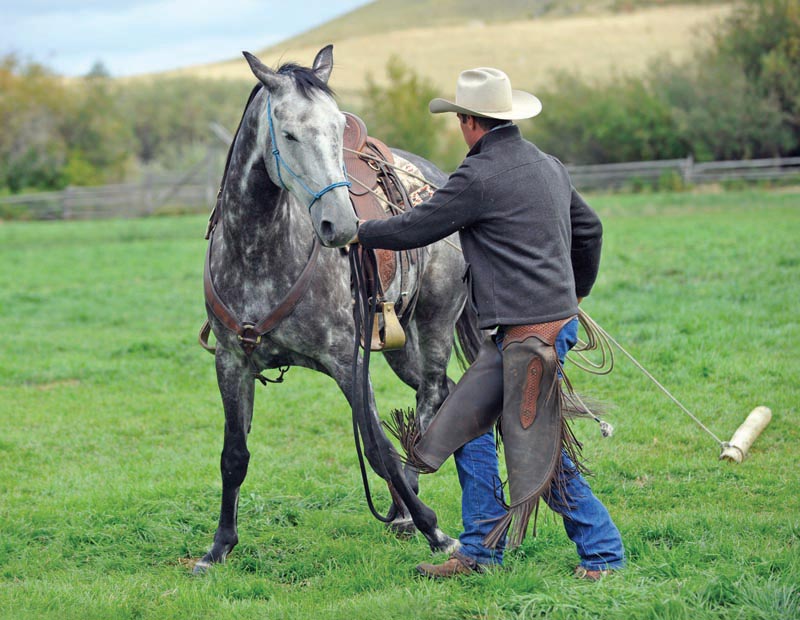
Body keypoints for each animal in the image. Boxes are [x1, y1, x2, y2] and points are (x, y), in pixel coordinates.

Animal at [195, 45, 479, 572]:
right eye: (289, 134)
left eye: (334, 128)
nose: (342, 225)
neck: (259, 252)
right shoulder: (231, 362)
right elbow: (234, 455)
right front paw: (220, 545)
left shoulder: (348, 362)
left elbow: (377, 447)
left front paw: (434, 531)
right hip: (399, 344)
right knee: (439, 394)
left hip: (435, 324)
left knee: (431, 398)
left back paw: (409, 504)